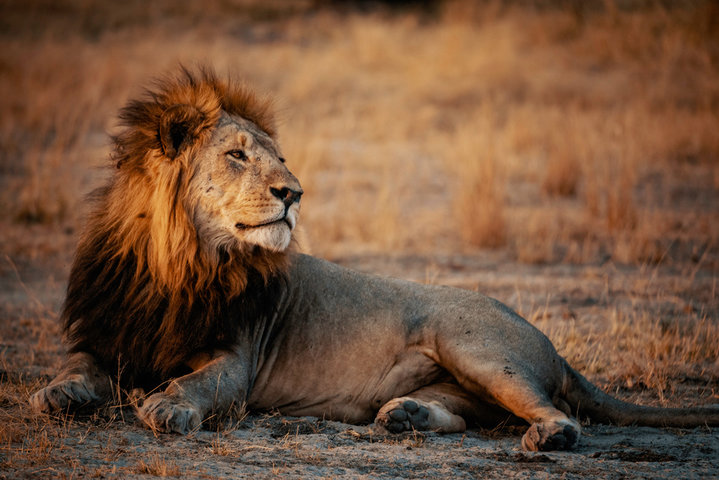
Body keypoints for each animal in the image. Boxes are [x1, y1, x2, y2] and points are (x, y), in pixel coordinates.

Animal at [29, 66, 719, 450]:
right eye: (238, 155)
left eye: (279, 157)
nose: (294, 192)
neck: (179, 264)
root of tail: (551, 343)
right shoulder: (106, 333)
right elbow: (75, 367)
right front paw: (53, 394)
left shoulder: (237, 359)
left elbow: (200, 381)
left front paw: (167, 405)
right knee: (472, 417)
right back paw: (405, 415)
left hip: (473, 344)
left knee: (557, 412)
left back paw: (547, 435)